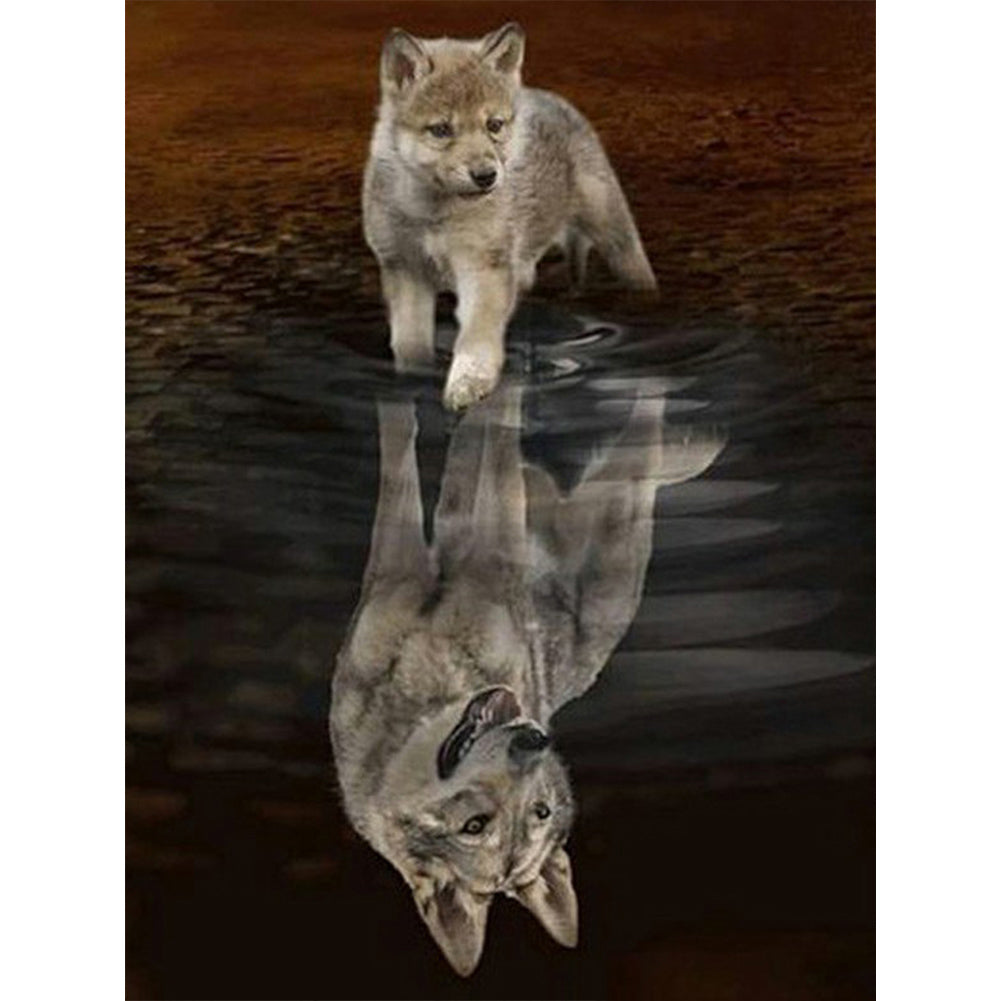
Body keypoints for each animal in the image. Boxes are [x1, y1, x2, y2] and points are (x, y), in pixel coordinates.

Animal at [329, 380, 723, 975]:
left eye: (540, 810)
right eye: (475, 826)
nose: (533, 738)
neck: (424, 698)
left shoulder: (485, 544)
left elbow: (472, 460)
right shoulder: (403, 564)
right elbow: (410, 450)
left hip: (613, 546)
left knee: (637, 457)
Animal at [362, 23, 657, 411]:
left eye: (494, 125)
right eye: (441, 130)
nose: (486, 176)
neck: (431, 214)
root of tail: (545, 95)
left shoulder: (484, 268)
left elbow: (476, 338)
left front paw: (468, 385)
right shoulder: (404, 269)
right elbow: (410, 347)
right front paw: (413, 381)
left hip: (616, 238)